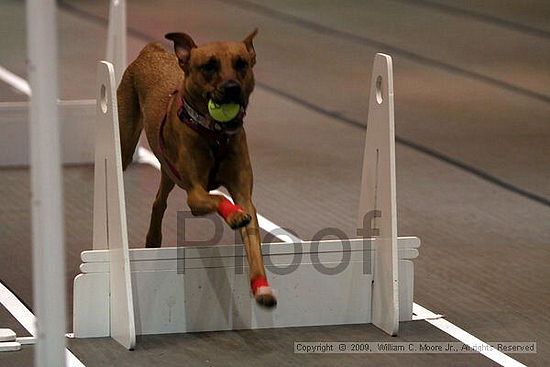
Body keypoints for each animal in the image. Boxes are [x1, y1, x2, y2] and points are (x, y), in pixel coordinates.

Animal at [118, 30, 278, 310]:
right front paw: (234, 216)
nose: (232, 88)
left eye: (241, 63)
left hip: (168, 169)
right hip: (125, 145)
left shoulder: (244, 195)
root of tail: (151, 50)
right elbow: (217, 198)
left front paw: (262, 288)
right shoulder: (195, 194)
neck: (216, 136)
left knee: (159, 202)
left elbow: (253, 245)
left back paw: (153, 239)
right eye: (209, 66)